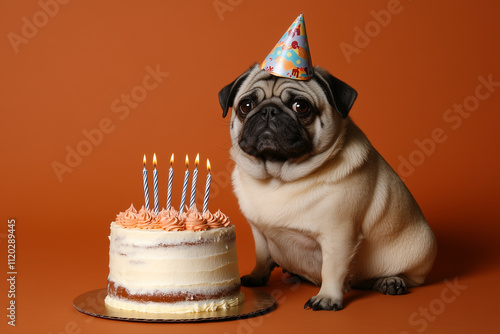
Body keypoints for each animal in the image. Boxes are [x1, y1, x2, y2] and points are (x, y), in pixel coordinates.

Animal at [217, 64, 436, 310]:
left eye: (301, 106)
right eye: (246, 106)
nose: (269, 111)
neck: (278, 178)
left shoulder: (338, 236)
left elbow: (332, 269)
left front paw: (328, 298)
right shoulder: (259, 232)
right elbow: (262, 256)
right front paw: (257, 276)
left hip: (421, 250)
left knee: (411, 277)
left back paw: (392, 281)